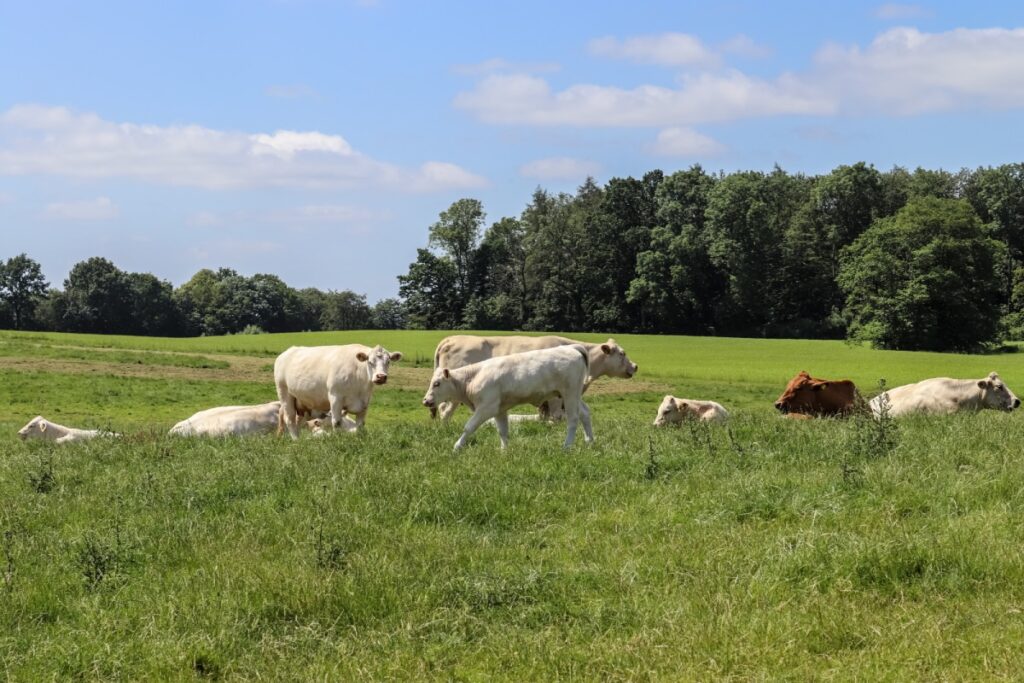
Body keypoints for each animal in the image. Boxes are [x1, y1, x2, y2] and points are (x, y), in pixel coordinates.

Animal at [419, 344, 593, 450]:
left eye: (437, 383)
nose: (425, 401)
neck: (473, 377)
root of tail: (571, 347)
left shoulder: (486, 408)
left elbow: (469, 427)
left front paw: (457, 446)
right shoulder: (499, 410)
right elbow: (502, 431)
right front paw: (504, 451)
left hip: (569, 394)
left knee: (573, 419)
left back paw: (567, 446)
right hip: (574, 395)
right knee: (585, 413)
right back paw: (590, 441)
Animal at [432, 333, 638, 419]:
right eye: (622, 353)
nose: (635, 366)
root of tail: (451, 339)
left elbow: (545, 416)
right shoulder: (556, 396)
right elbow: (556, 415)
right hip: (452, 394)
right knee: (444, 410)